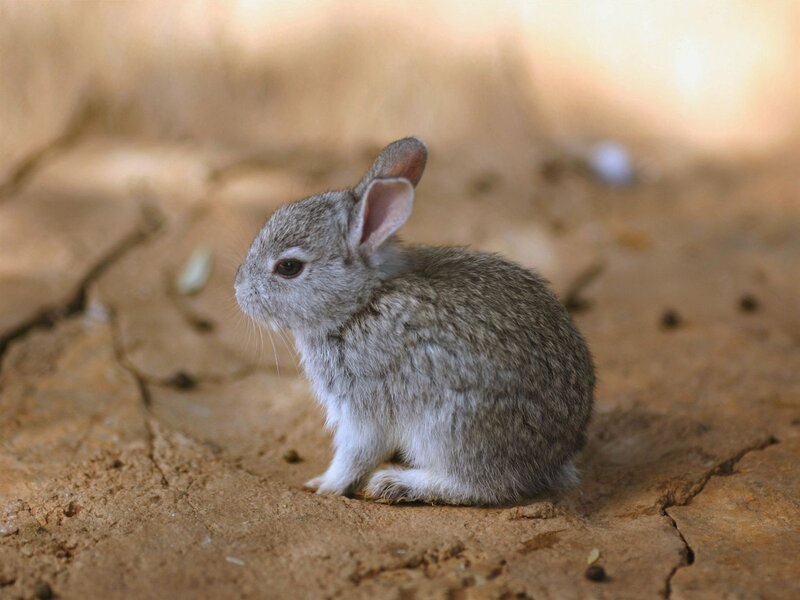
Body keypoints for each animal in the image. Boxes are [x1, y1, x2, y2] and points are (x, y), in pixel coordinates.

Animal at [235, 137, 595, 505]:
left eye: (288, 267)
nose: (239, 291)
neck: (361, 303)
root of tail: (554, 457)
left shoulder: (365, 405)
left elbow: (355, 453)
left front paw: (325, 486)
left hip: (450, 426)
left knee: (480, 485)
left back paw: (396, 483)